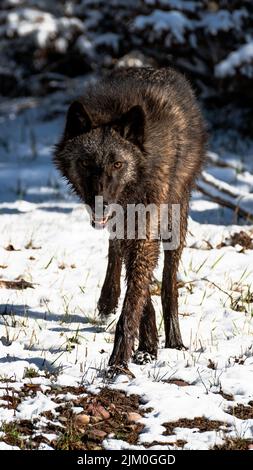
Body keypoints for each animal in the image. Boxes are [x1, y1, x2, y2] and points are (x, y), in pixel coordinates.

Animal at [53, 68, 206, 372]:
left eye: (118, 164)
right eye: (85, 163)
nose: (101, 204)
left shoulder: (146, 233)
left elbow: (136, 298)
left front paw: (119, 363)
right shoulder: (128, 231)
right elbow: (137, 290)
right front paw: (146, 346)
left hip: (175, 221)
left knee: (169, 282)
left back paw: (175, 340)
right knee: (116, 253)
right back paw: (109, 300)